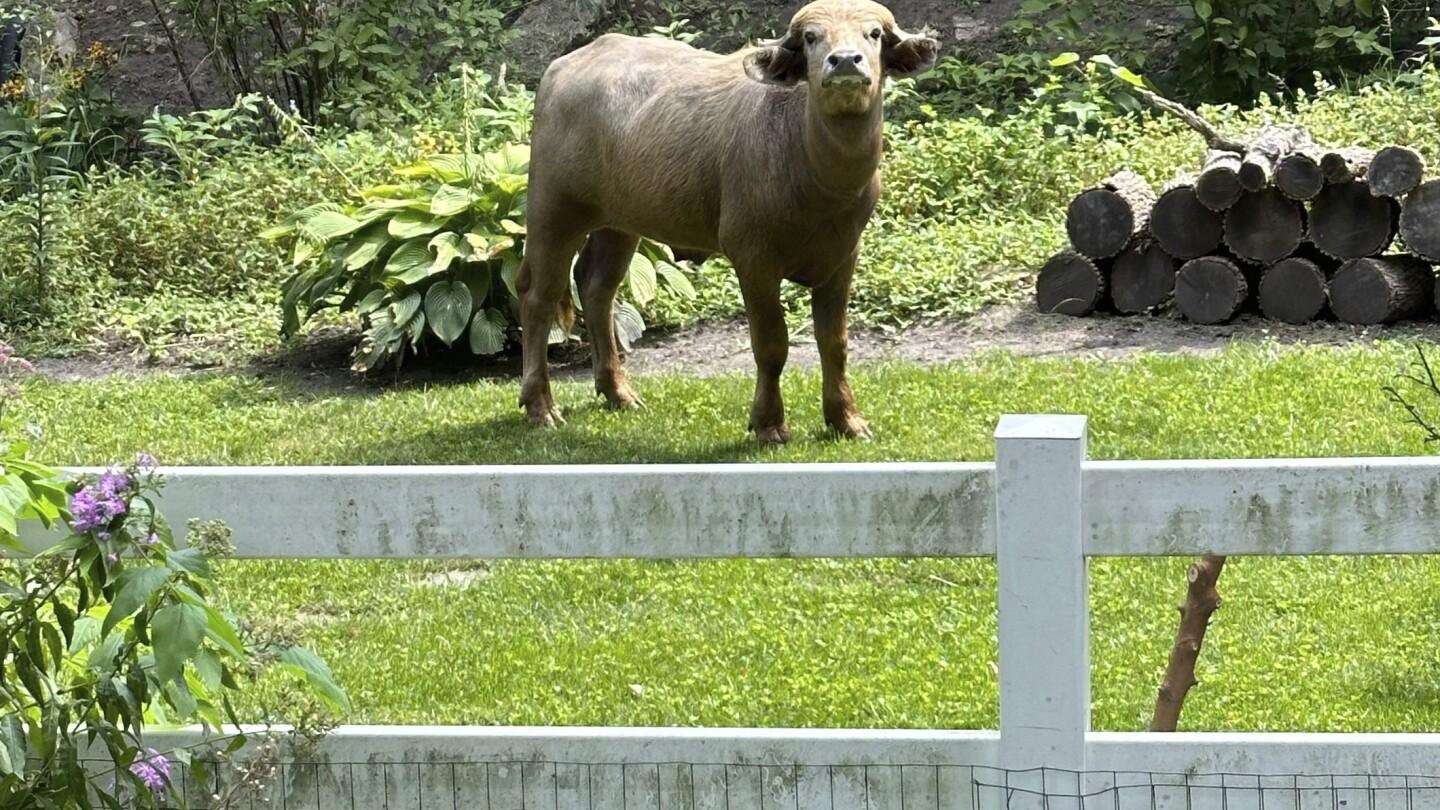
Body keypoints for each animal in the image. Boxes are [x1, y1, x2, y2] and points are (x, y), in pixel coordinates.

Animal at [512, 0, 938, 441]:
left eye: (874, 34)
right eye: (811, 37)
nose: (845, 62)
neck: (817, 176)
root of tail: (561, 67)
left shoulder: (843, 256)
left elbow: (834, 343)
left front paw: (847, 419)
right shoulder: (753, 257)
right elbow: (771, 344)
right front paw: (769, 424)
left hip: (619, 222)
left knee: (596, 287)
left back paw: (618, 392)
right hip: (553, 209)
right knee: (538, 295)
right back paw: (540, 405)